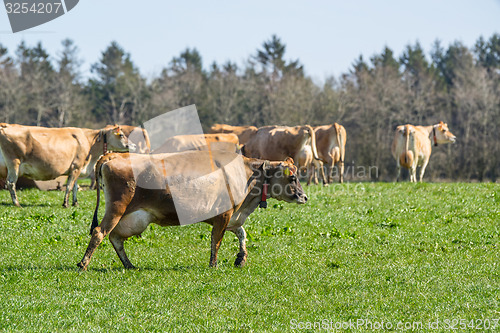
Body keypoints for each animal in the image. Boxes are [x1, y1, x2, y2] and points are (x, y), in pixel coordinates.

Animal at [0, 123, 134, 206]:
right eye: (121, 135)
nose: (132, 145)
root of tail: (6, 125)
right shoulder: (76, 167)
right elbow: (70, 186)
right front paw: (66, 203)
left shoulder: (76, 168)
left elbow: (75, 186)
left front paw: (75, 203)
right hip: (14, 163)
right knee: (11, 183)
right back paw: (17, 203)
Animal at [76, 150, 306, 270]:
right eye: (293, 177)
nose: (304, 197)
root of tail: (113, 154)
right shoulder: (224, 215)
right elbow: (216, 241)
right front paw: (213, 265)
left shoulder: (232, 216)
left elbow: (242, 234)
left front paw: (241, 258)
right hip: (117, 208)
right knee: (100, 232)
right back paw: (83, 264)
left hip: (132, 217)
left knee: (115, 237)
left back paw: (129, 264)